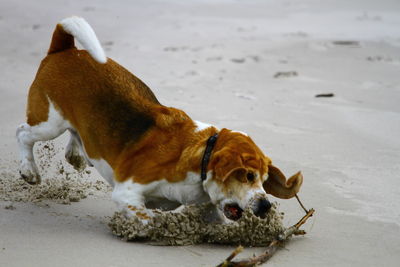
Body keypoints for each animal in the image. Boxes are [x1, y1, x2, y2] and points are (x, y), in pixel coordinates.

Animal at [16, 15, 304, 223]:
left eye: (264, 180)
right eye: (248, 176)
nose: (266, 206)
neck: (203, 155)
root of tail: (64, 49)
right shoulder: (127, 192)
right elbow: (149, 219)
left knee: (76, 134)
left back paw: (76, 154)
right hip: (48, 123)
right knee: (22, 133)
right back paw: (29, 170)